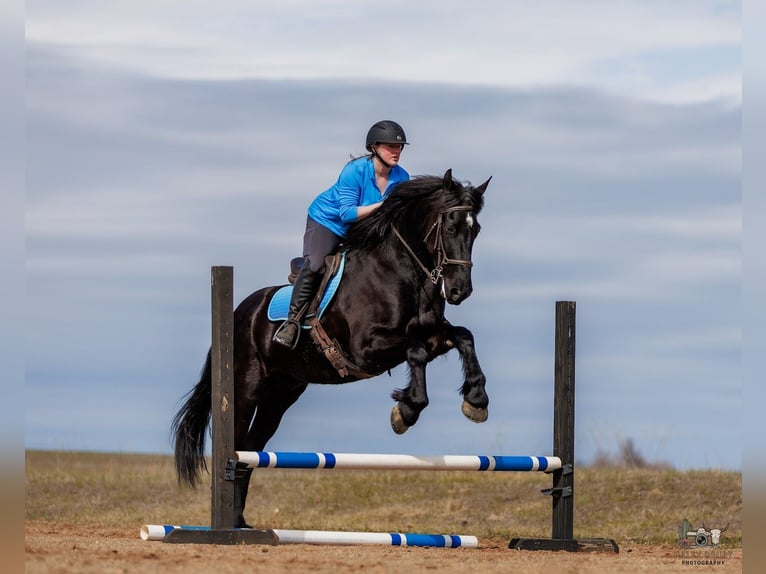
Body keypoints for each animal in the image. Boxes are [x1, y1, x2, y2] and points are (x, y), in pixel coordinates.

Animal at [172, 169, 491, 528]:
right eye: (451, 227)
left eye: (475, 230)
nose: (459, 290)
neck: (402, 272)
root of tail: (239, 312)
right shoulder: (367, 348)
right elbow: (416, 353)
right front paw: (407, 411)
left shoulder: (432, 335)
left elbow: (463, 337)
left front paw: (476, 400)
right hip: (246, 387)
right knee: (239, 446)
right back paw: (231, 523)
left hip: (281, 393)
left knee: (252, 450)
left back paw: (240, 521)